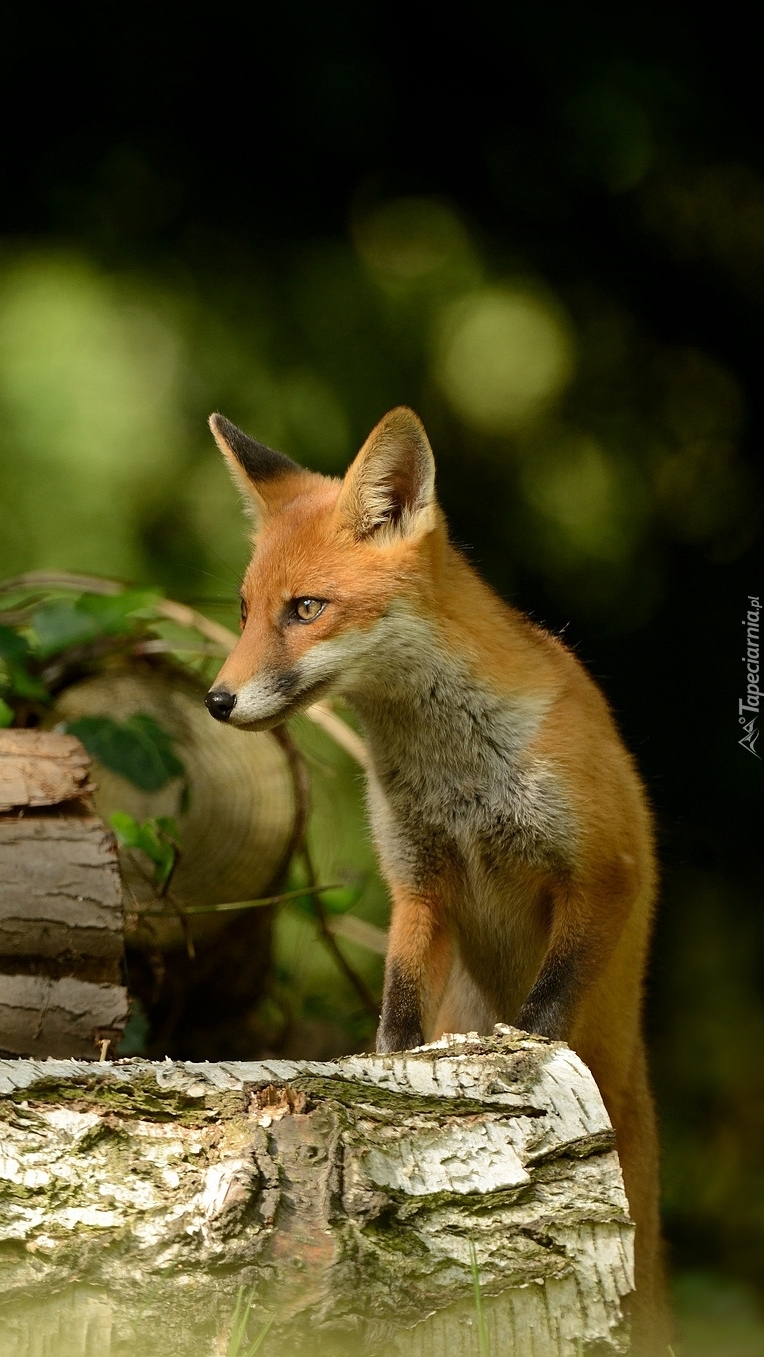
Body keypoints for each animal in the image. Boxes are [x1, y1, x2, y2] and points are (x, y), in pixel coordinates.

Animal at [206, 398, 667, 1346]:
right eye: (244, 609)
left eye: (306, 608)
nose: (217, 700)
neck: (455, 773)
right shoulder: (419, 879)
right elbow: (398, 1004)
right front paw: (379, 1080)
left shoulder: (603, 871)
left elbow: (546, 1009)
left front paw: (520, 1065)